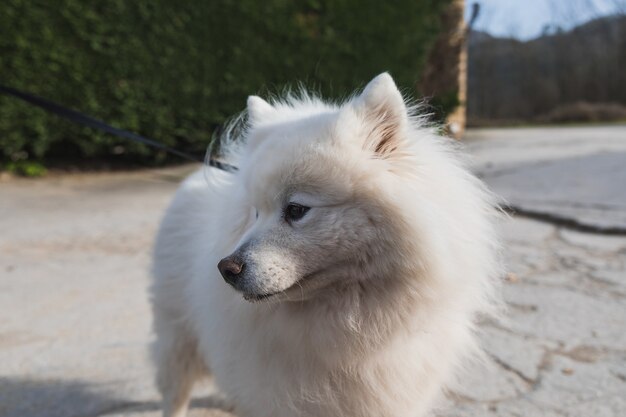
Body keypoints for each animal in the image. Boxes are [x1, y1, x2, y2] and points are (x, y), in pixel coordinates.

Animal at [149, 74, 500, 416]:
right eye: (256, 213)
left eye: (296, 210)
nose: (226, 268)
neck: (350, 329)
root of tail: (194, 175)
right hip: (177, 341)